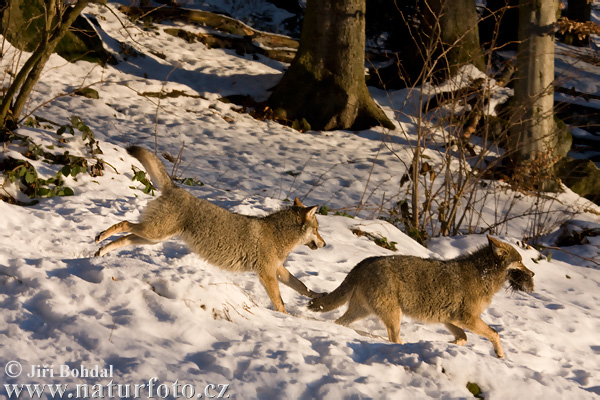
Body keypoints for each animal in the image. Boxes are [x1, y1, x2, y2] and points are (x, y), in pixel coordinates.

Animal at [95, 145, 326, 314]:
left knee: (125, 237)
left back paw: (100, 252)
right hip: (153, 233)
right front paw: (285, 318)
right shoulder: (267, 274)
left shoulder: (278, 269)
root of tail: (176, 188)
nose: (325, 244)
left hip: (152, 238)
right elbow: (279, 301)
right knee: (123, 223)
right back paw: (99, 238)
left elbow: (301, 285)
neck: (279, 235)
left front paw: (319, 296)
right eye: (317, 229)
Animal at [310, 236, 536, 358]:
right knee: (394, 339)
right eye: (521, 262)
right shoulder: (468, 319)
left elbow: (463, 338)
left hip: (360, 312)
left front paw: (451, 345)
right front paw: (500, 354)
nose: (533, 274)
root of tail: (364, 261)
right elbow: (495, 333)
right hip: (394, 316)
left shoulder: (450, 319)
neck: (484, 275)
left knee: (339, 322)